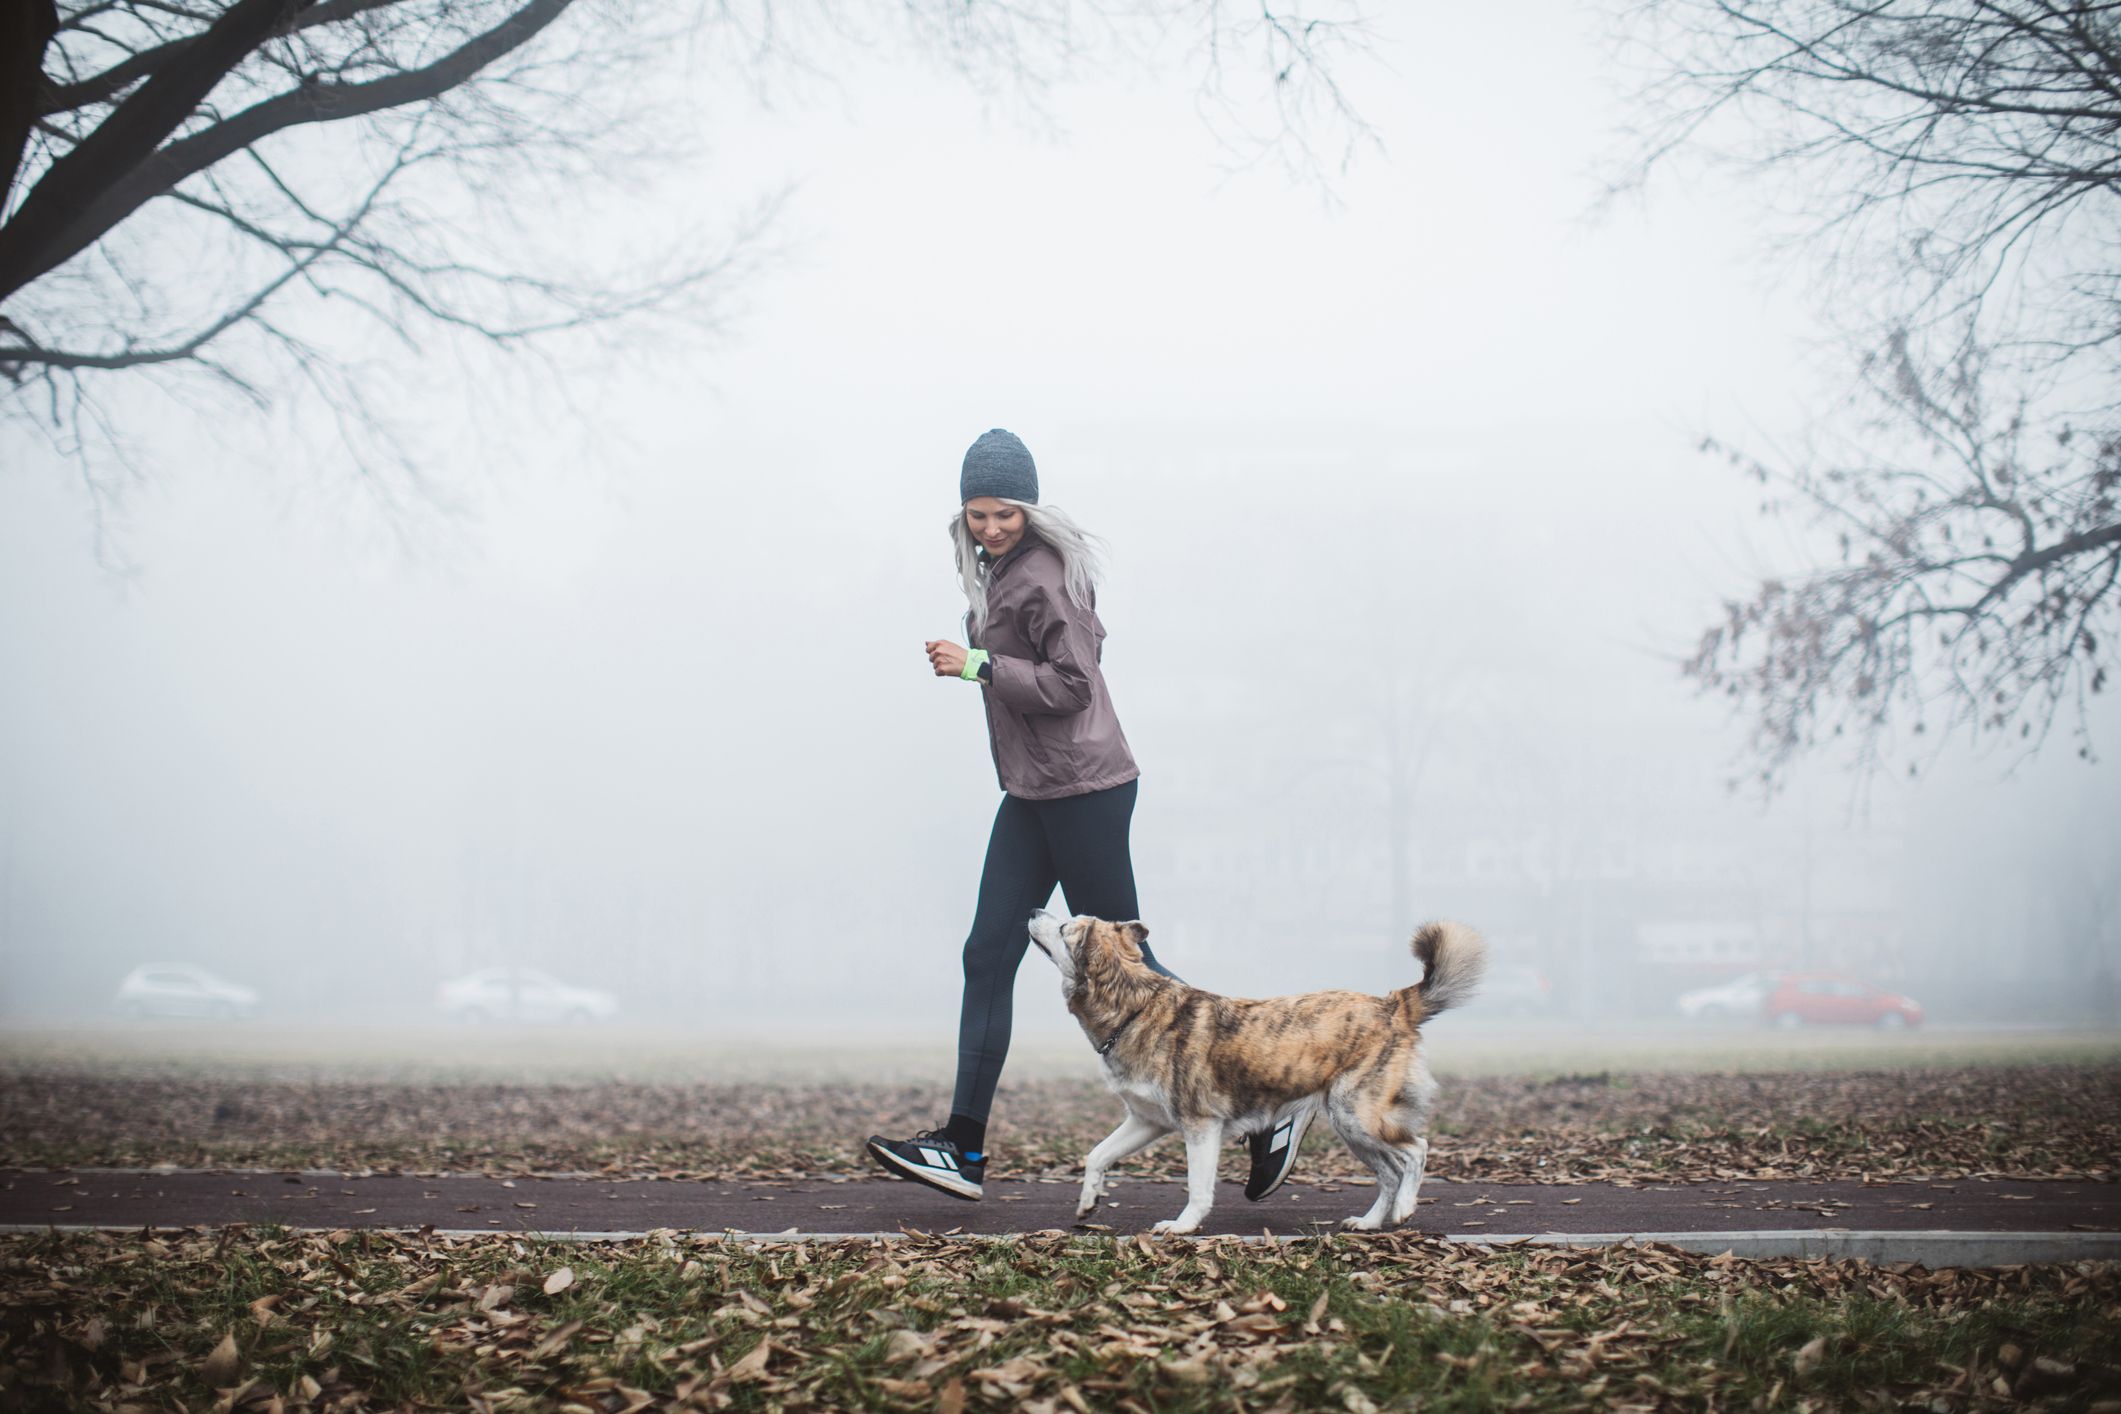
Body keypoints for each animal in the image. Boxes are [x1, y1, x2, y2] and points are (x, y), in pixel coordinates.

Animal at [1022, 911, 1484, 1229]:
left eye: (1064, 927)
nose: (1033, 909)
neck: (1136, 1008)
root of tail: (1393, 1003)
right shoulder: (1146, 1122)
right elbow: (1097, 1155)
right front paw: (1088, 1200)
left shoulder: (1201, 1127)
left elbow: (1198, 1187)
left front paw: (1183, 1226)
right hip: (1351, 1129)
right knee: (1389, 1173)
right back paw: (1370, 1222)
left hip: (1361, 1118)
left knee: (1416, 1151)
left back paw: (1404, 1208)